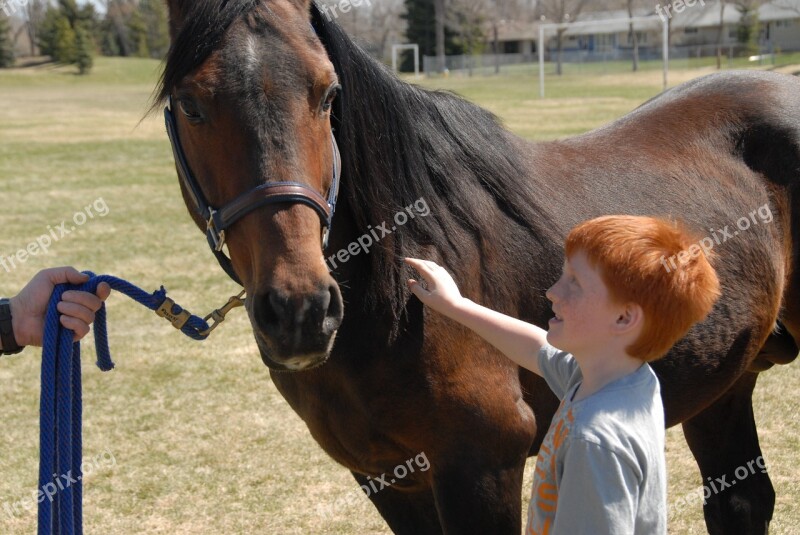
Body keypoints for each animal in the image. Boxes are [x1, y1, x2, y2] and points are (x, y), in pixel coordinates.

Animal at [153, 2, 796, 532]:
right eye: (190, 105)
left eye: (329, 95)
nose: (300, 311)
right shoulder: (387, 476)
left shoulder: (480, 463)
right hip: (722, 382)